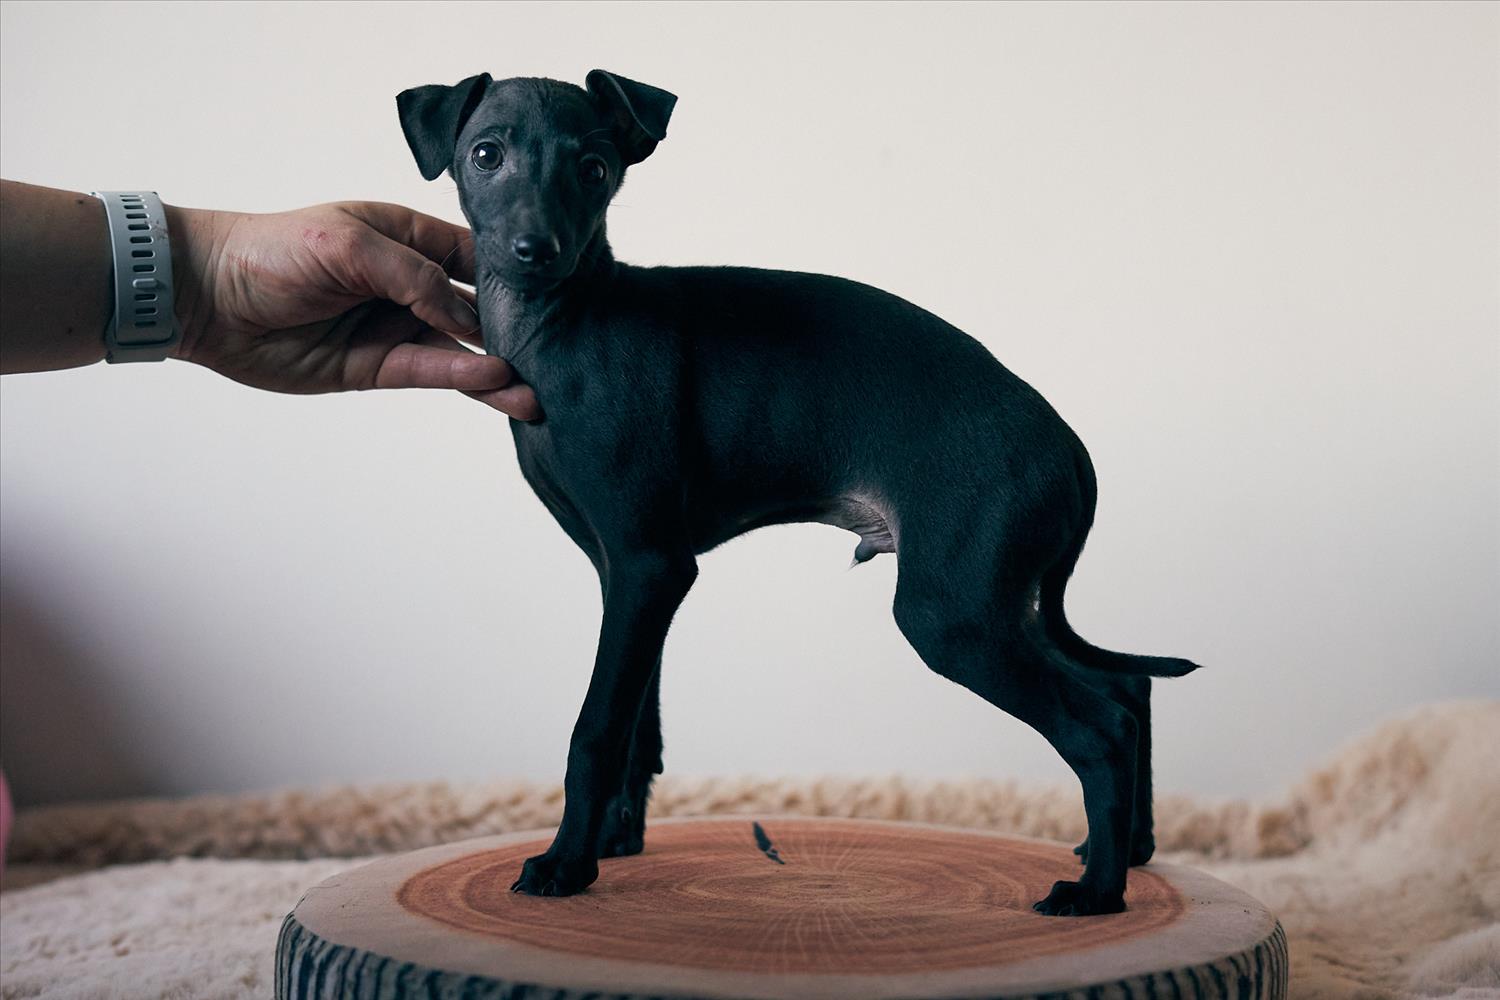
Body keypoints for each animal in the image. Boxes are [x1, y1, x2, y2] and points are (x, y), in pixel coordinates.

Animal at [396, 69, 1200, 916]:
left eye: (594, 168)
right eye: (486, 154)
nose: (536, 249)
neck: (564, 328)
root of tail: (1070, 448)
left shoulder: (650, 565)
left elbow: (596, 728)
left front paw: (566, 865)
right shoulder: (629, 576)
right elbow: (639, 725)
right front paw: (615, 841)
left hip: (954, 612)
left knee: (1099, 727)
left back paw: (1097, 891)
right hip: (998, 598)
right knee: (1126, 687)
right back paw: (1131, 850)